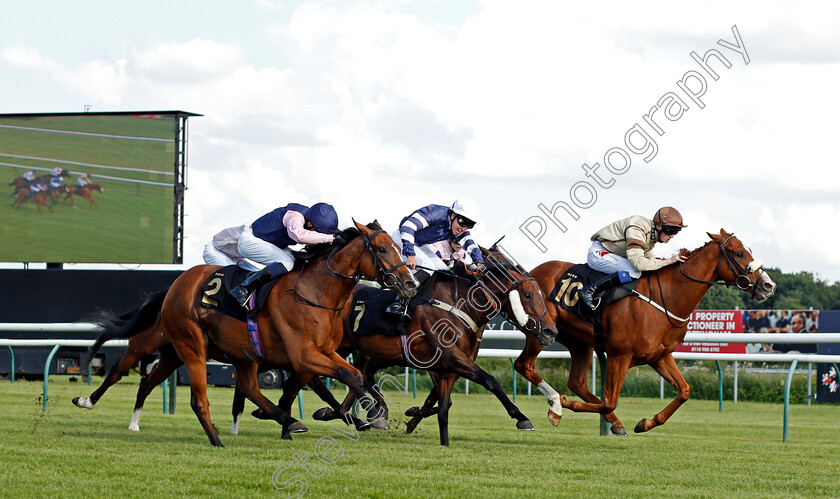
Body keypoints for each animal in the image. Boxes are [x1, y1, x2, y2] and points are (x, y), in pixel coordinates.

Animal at [308, 245, 556, 446]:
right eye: (527, 295)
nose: (550, 331)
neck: (458, 304)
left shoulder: (448, 365)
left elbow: (444, 404)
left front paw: (423, 424)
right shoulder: (450, 358)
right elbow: (490, 380)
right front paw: (522, 418)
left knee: (353, 376)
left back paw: (352, 414)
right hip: (337, 346)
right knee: (321, 376)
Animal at [404, 230, 776, 438]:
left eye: (749, 251)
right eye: (739, 253)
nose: (768, 285)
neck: (667, 297)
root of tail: (527, 274)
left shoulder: (659, 356)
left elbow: (684, 391)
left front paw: (645, 422)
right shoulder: (621, 354)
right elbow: (610, 397)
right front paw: (564, 407)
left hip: (579, 342)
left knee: (578, 382)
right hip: (541, 331)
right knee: (525, 366)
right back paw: (557, 404)